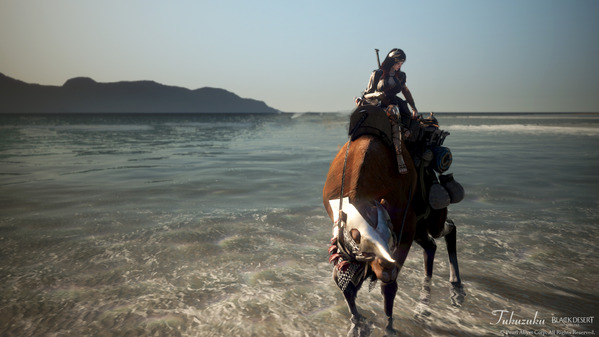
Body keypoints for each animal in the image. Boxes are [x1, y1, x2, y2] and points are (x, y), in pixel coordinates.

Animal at [324, 106, 464, 332]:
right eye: (363, 246)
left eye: (389, 237)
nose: (385, 269)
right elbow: (343, 282)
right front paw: (357, 322)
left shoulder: (405, 229)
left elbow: (389, 287)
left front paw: (388, 326)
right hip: (420, 227)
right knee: (431, 245)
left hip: (430, 217)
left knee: (448, 228)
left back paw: (455, 282)